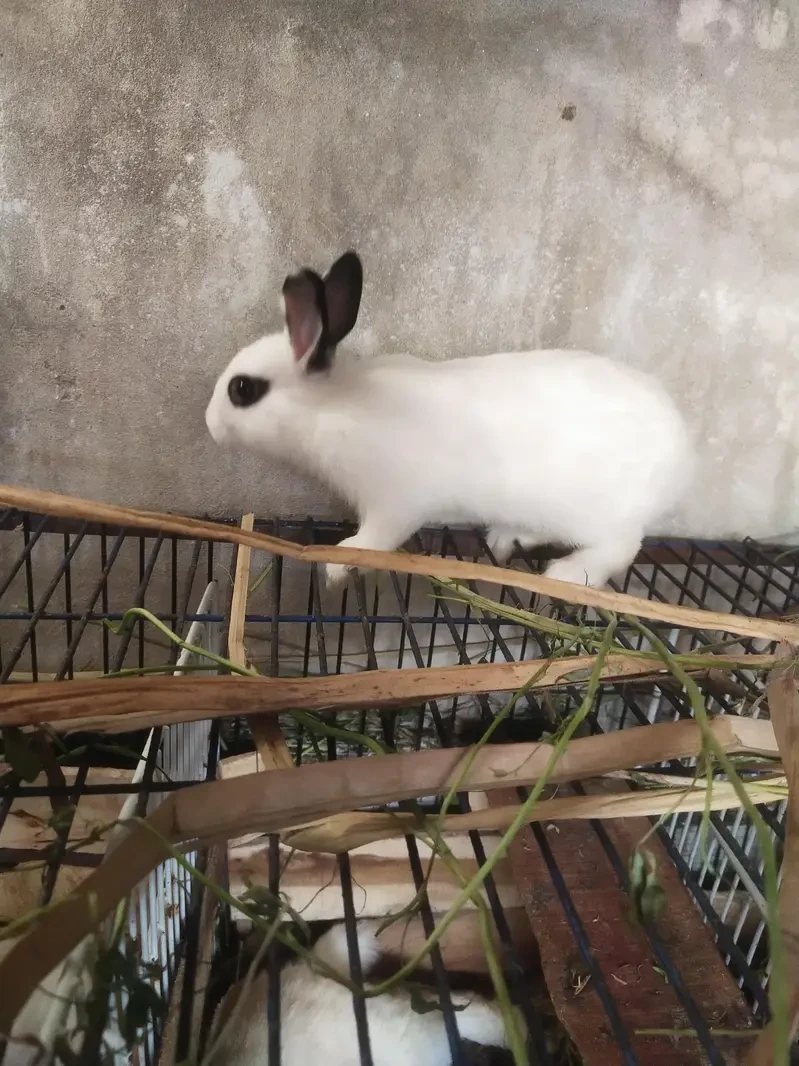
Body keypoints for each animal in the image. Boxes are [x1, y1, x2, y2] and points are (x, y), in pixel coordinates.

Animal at [205, 251, 693, 589]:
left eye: (243, 389)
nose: (209, 423)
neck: (334, 407)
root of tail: (683, 460)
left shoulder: (395, 503)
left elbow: (374, 540)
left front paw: (337, 564)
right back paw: (505, 540)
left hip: (602, 515)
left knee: (621, 548)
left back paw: (567, 574)